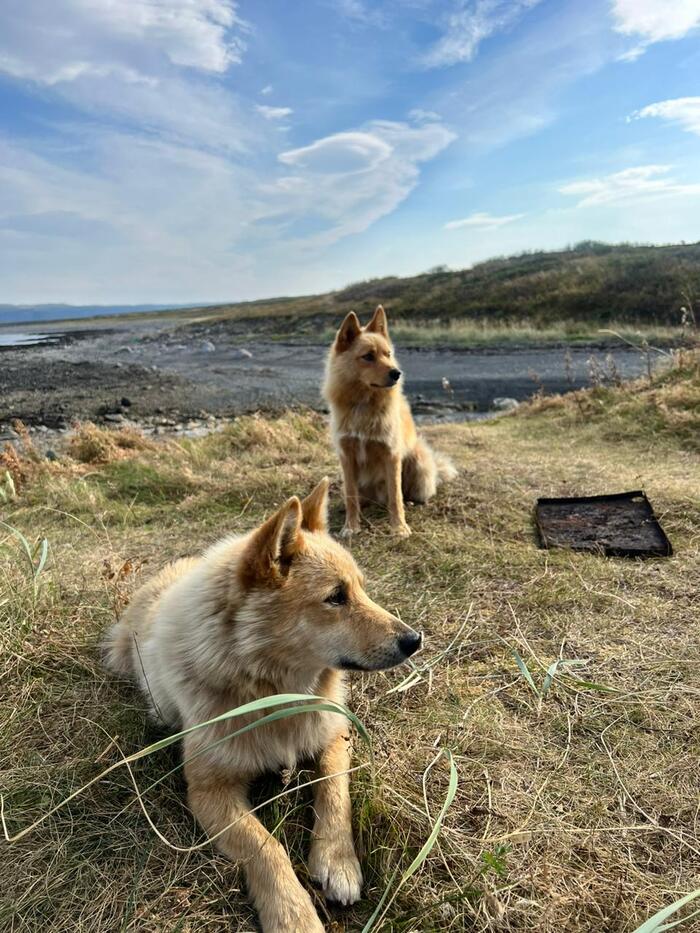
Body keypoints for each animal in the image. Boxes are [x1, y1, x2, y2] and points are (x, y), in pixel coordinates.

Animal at [102, 480, 422, 932]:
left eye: (361, 588)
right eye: (335, 598)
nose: (415, 640)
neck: (274, 691)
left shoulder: (335, 736)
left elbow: (334, 793)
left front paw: (338, 862)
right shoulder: (209, 791)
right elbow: (265, 846)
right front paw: (293, 915)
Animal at [322, 308, 456, 540]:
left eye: (388, 354)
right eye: (368, 356)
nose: (397, 373)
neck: (364, 404)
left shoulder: (391, 455)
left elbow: (396, 496)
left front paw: (399, 527)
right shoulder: (347, 457)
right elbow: (351, 497)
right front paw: (351, 526)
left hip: (418, 461)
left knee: (409, 494)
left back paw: (412, 503)